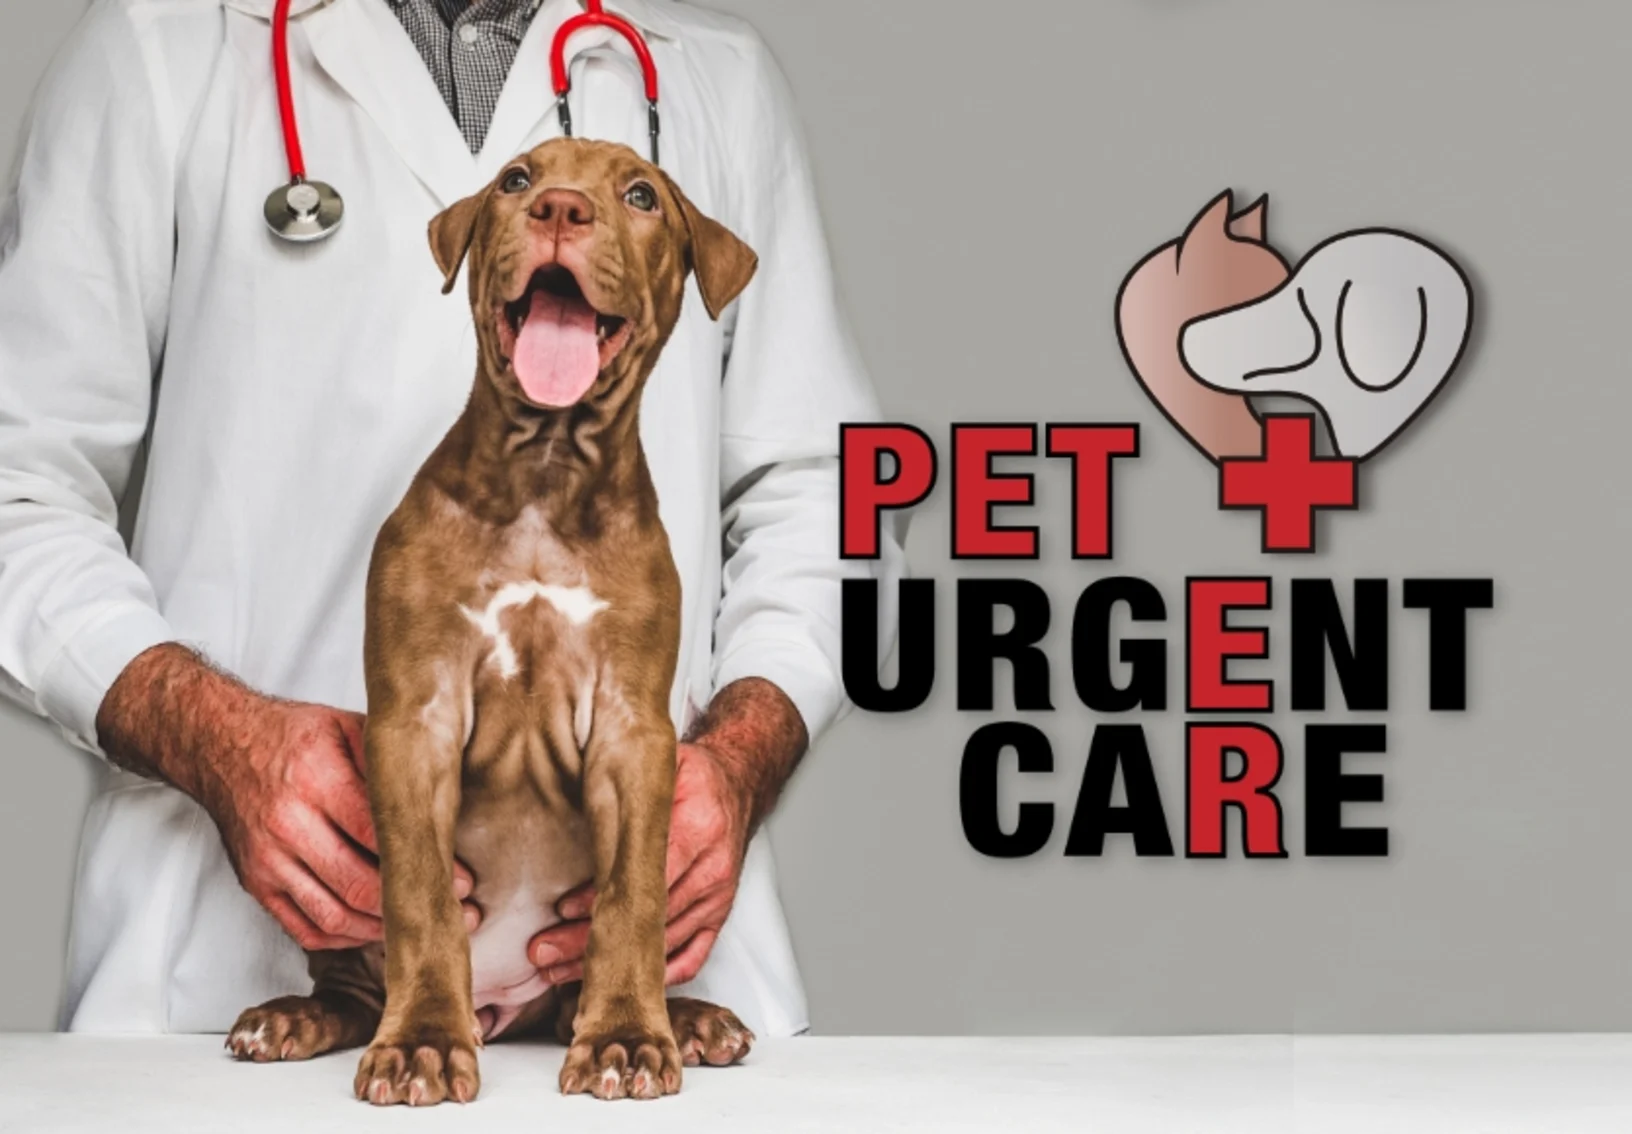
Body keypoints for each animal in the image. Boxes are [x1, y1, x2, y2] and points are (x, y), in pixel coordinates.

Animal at [226, 141, 760, 1109]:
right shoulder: (414, 722)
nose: (559, 207)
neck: (545, 472)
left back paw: (689, 1019)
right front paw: (423, 1044)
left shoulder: (634, 734)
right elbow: (424, 899)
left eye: (641, 195)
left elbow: (631, 900)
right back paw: (290, 1019)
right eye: (516, 181)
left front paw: (628, 1035)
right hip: (348, 943)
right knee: (350, 989)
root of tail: (508, 1011)